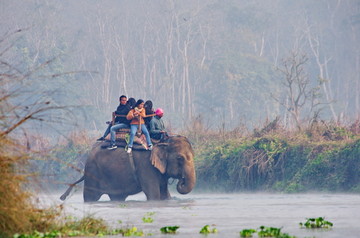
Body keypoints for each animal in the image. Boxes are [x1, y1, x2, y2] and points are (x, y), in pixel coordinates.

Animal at [61, 136, 197, 201]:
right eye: (180, 158)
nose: (181, 180)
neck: (162, 142)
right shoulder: (145, 166)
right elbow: (153, 194)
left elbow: (164, 194)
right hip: (92, 172)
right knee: (91, 197)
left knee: (117, 197)